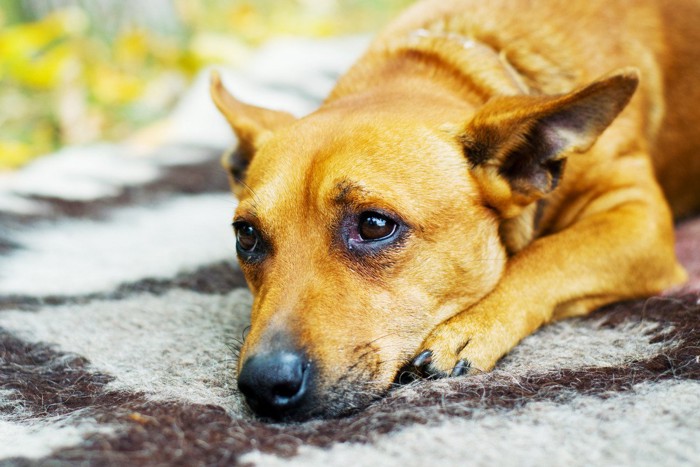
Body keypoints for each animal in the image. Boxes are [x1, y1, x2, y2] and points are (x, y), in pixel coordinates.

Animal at [208, 0, 700, 422]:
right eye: (246, 235)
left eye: (375, 225)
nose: (264, 384)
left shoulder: (638, 217)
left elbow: (547, 255)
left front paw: (467, 329)